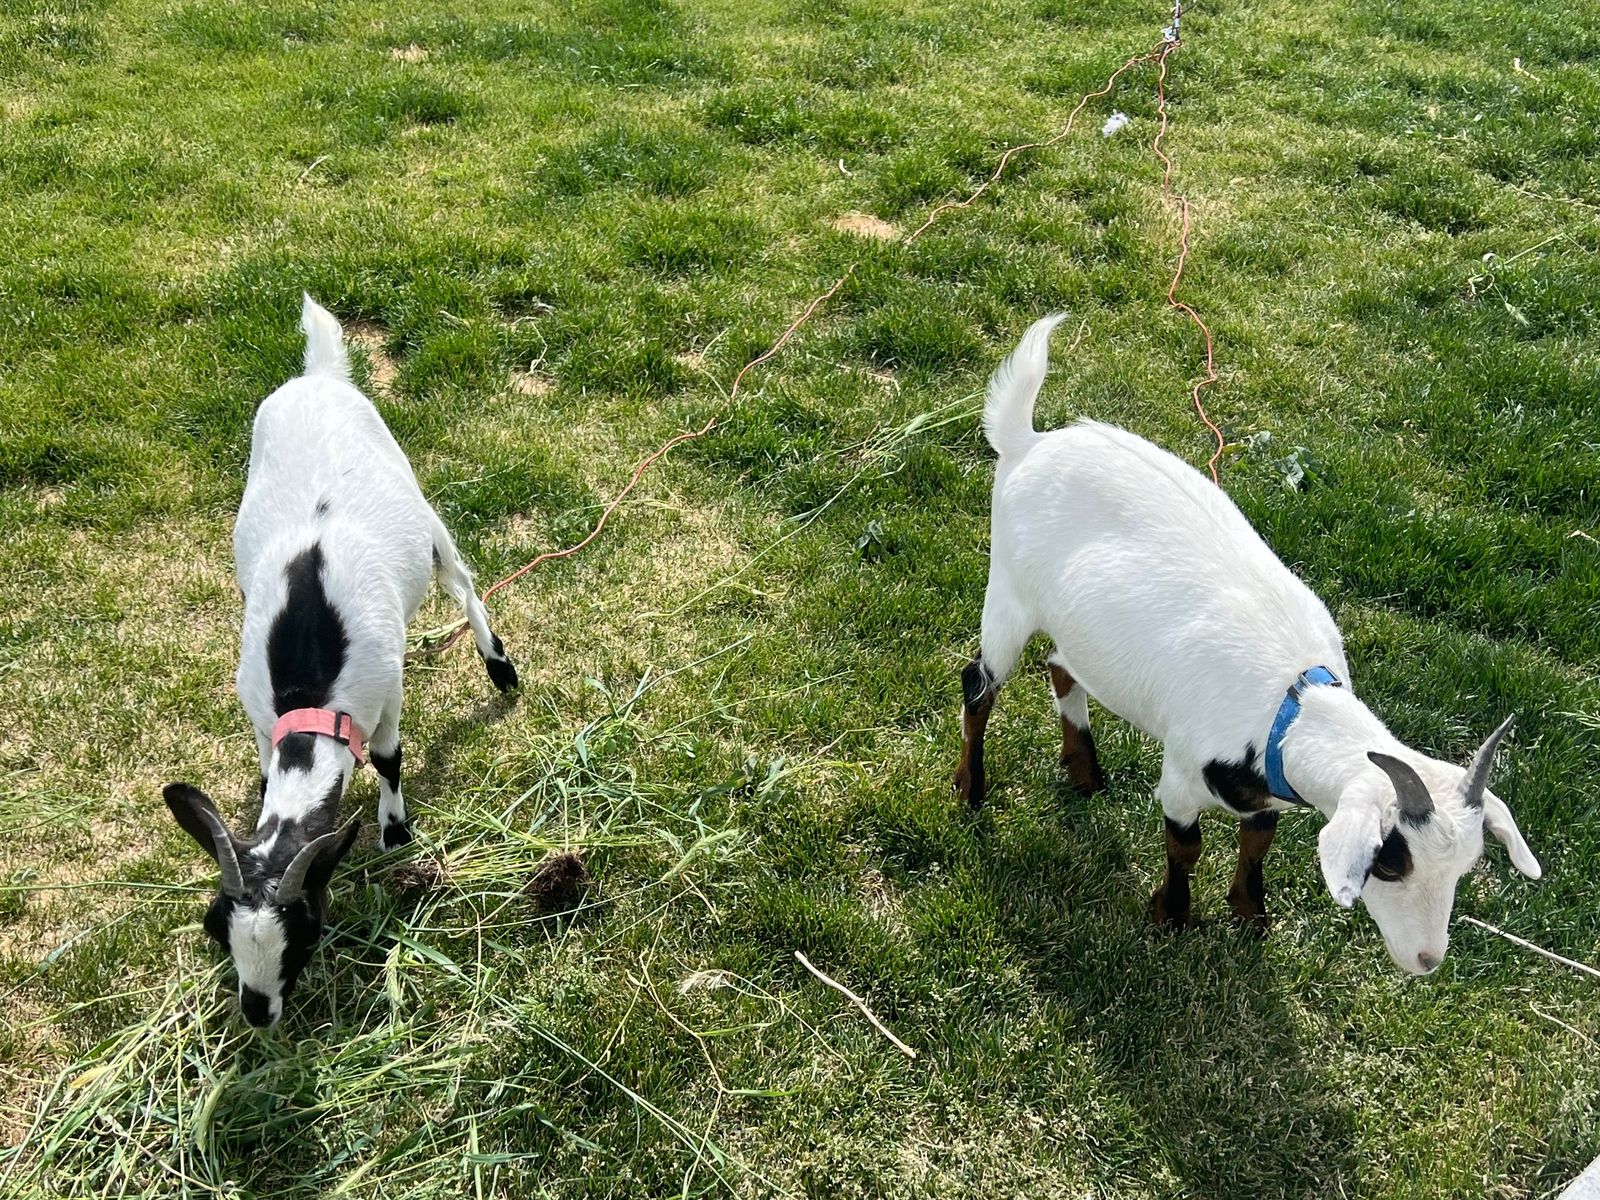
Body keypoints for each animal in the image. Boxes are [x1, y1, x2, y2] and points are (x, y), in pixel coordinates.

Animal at [164, 295, 519, 1026]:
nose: (258, 1010)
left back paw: (499, 666)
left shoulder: (387, 689)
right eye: (217, 927)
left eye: (306, 929)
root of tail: (320, 376)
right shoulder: (256, 707)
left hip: (424, 516)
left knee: (464, 583)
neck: (309, 692)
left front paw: (394, 831)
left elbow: (388, 758)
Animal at [953, 314, 1541, 975]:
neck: (1290, 698)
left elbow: (1257, 841)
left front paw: (1250, 915)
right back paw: (971, 790)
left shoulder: (1267, 792)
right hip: (1008, 591)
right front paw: (1172, 917)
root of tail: (1027, 442)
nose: (1427, 959)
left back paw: (1084, 773)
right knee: (979, 685)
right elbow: (1186, 845)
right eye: (1390, 863)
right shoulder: (1181, 776)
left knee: (1061, 666)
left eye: (1467, 866)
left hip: (1079, 625)